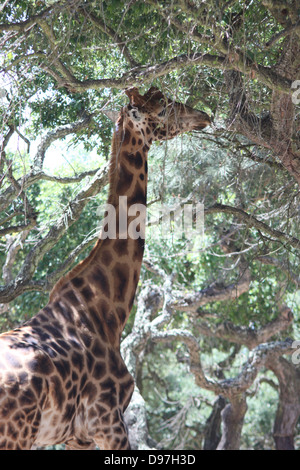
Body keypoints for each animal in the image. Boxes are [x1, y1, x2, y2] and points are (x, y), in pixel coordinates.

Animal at [0, 86, 211, 450]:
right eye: (164, 107)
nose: (205, 116)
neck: (106, 311)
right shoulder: (108, 420)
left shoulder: (75, 436)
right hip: (17, 434)